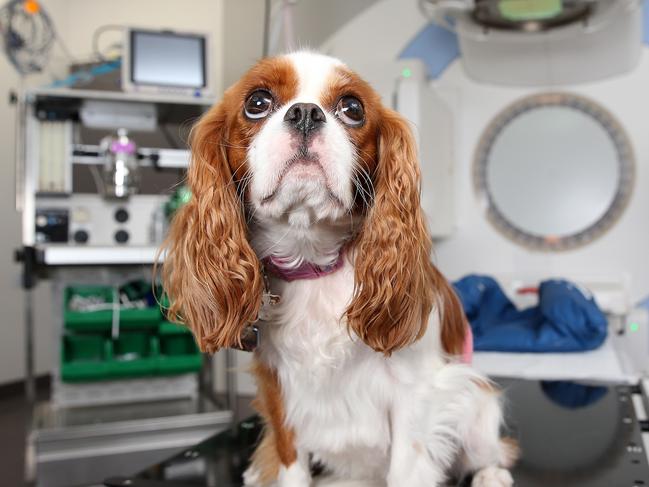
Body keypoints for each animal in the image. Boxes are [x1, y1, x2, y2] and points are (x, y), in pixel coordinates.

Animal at [162, 51, 516, 486]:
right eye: (257, 102)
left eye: (352, 108)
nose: (305, 113)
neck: (314, 261)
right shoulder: (279, 391)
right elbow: (290, 463)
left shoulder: (416, 392)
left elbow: (405, 468)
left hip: (476, 403)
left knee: (496, 450)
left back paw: (491, 474)